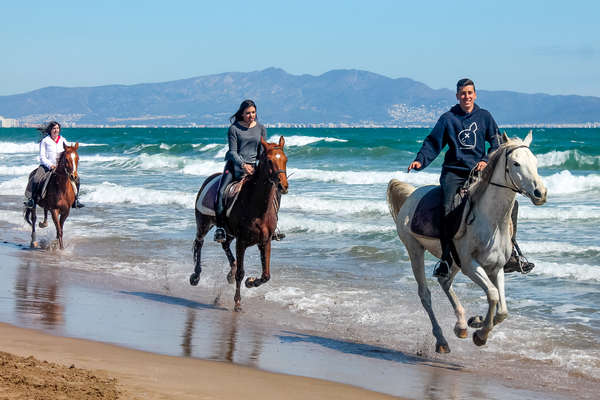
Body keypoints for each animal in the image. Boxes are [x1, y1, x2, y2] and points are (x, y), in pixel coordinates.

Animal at [190, 136, 288, 310]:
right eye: (269, 161)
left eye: (285, 160)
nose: (283, 186)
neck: (257, 207)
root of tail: (209, 179)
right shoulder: (242, 242)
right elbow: (240, 273)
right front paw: (237, 302)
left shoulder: (265, 241)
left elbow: (266, 275)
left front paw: (250, 282)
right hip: (203, 223)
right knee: (199, 243)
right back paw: (196, 276)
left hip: (228, 232)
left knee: (224, 244)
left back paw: (229, 272)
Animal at [386, 132, 548, 354]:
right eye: (516, 163)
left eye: (535, 162)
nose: (541, 193)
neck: (490, 220)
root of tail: (412, 195)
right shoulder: (471, 265)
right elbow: (493, 295)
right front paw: (480, 333)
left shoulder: (496, 268)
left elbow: (503, 310)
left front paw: (476, 322)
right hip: (415, 250)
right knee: (425, 294)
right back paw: (442, 340)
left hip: (452, 261)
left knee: (445, 281)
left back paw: (461, 325)